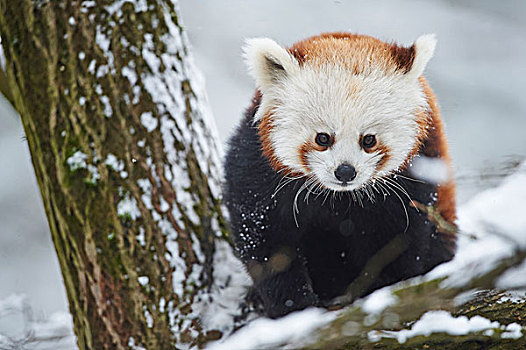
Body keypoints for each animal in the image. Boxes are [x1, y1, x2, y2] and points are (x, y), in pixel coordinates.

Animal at [223, 32, 458, 318]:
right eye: (323, 138)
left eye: (369, 140)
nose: (345, 171)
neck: (339, 197)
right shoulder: (257, 167)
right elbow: (266, 242)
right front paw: (293, 306)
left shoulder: (415, 176)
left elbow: (399, 243)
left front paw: (383, 295)